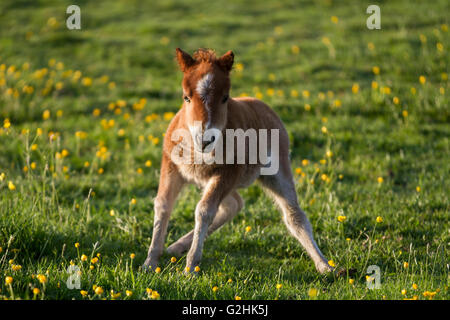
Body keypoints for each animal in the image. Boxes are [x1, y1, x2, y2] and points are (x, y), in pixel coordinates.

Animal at [142, 48, 332, 274]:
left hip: (275, 172)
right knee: (234, 204)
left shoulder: (228, 172)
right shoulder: (171, 166)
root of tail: (261, 104)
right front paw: (150, 262)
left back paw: (325, 266)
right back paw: (175, 247)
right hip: (211, 180)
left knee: (294, 216)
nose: (205, 139)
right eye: (186, 97)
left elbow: (204, 210)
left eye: (225, 98)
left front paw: (191, 267)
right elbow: (162, 205)